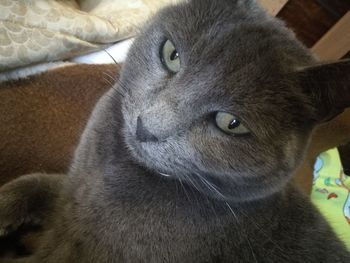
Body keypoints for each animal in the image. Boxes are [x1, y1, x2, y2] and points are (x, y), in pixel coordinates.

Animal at [0, 0, 350, 262]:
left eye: (231, 123)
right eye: (171, 55)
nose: (146, 127)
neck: (110, 166)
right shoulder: (72, 187)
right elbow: (35, 182)